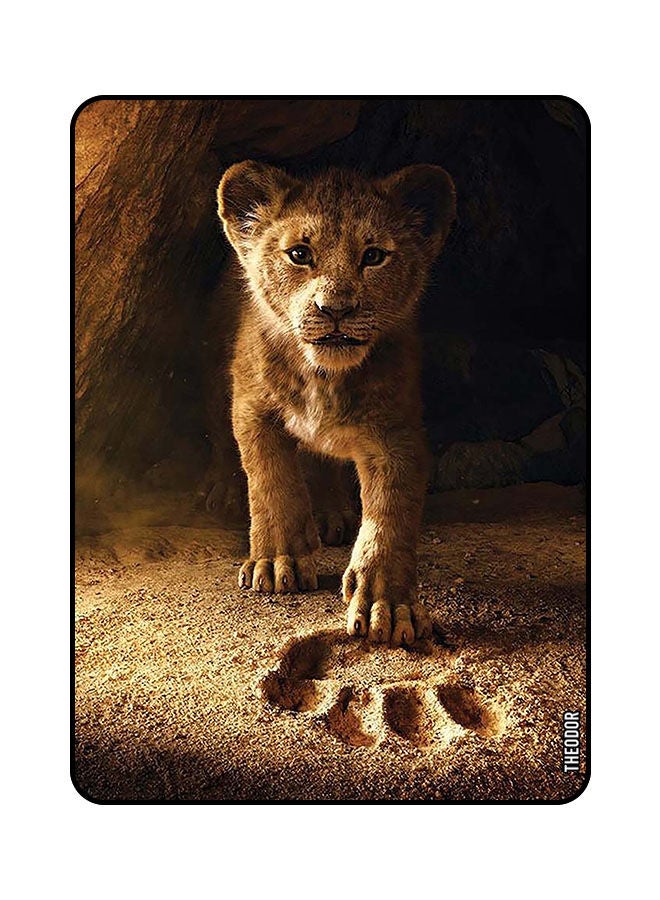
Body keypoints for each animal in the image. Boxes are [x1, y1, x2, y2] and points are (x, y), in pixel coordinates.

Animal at [213, 161, 456, 645]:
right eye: (299, 254)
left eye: (374, 256)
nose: (336, 309)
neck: (324, 376)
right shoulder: (251, 407)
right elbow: (271, 481)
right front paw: (277, 561)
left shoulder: (396, 433)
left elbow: (390, 514)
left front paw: (388, 604)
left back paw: (330, 515)